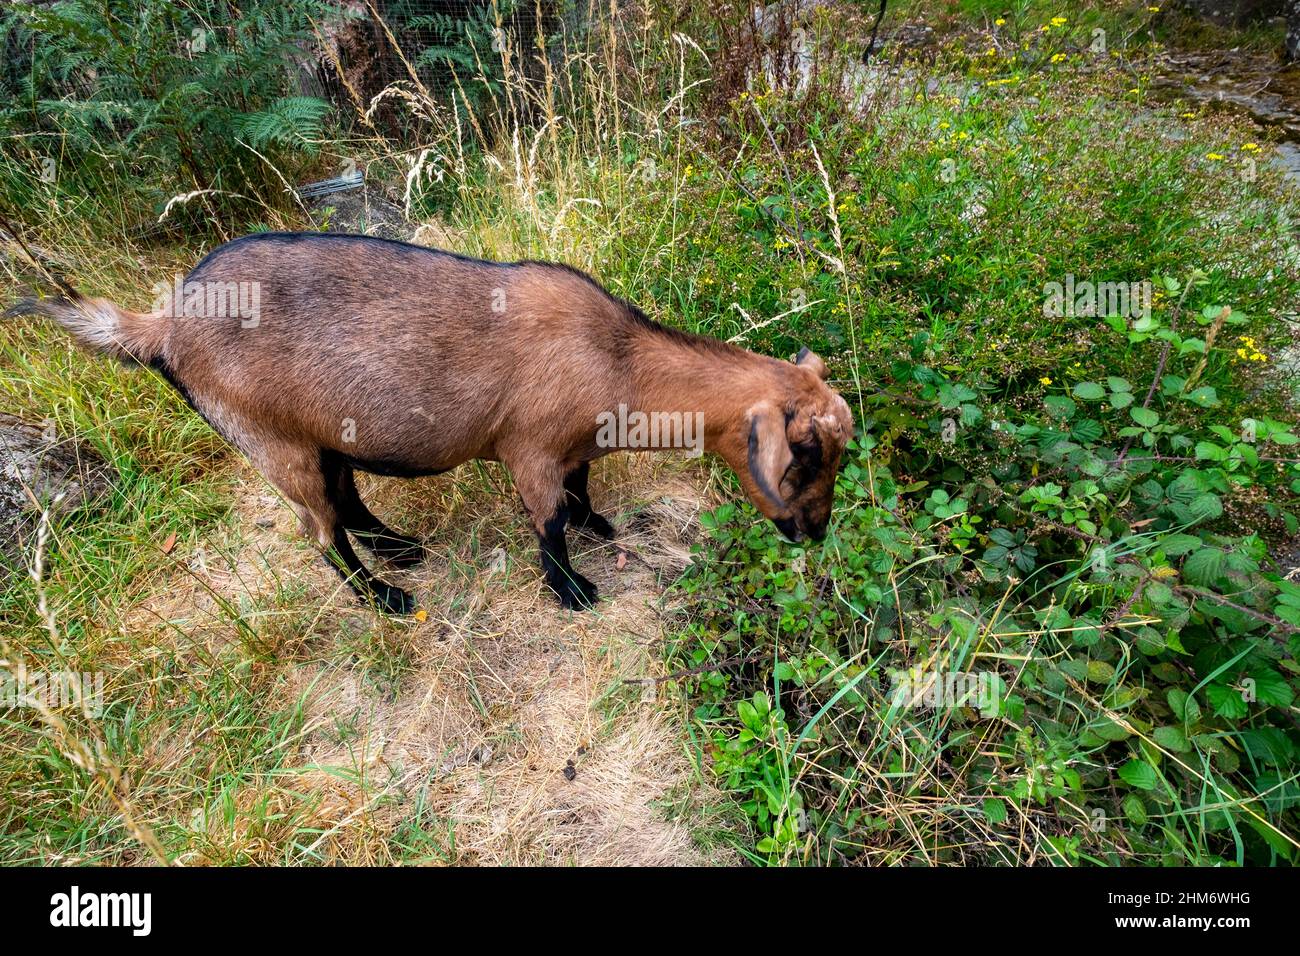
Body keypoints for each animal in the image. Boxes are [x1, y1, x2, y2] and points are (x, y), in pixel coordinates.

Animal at [12, 235, 863, 616]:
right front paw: (571, 589)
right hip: (271, 441)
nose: (815, 532)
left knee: (346, 498)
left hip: (323, 433)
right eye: (804, 452)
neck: (620, 360)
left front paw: (600, 526)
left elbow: (583, 491)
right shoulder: (530, 450)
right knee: (319, 532)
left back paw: (399, 550)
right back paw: (383, 595)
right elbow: (547, 523)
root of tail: (162, 326)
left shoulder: (574, 447)